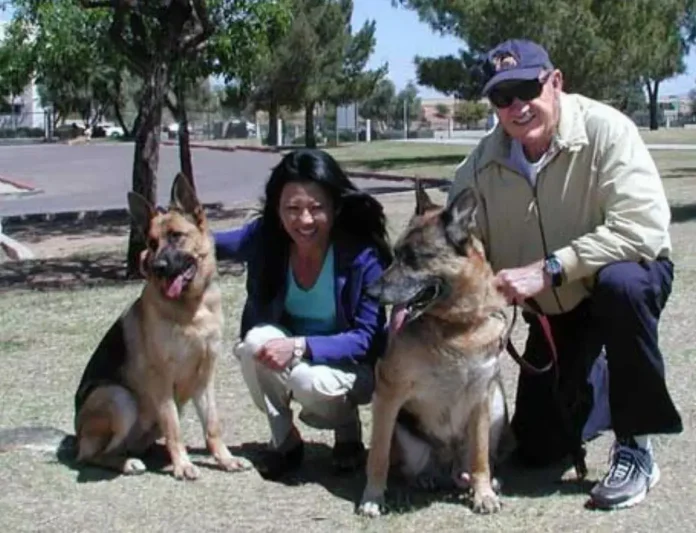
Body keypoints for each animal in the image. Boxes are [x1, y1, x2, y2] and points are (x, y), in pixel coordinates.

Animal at [70, 174, 245, 478]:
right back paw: (127, 463)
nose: (158, 267)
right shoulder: (162, 378)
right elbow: (173, 426)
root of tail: (77, 437)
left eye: (176, 236)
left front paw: (224, 459)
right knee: (95, 455)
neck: (191, 309)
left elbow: (212, 425)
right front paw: (183, 465)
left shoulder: (205, 376)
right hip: (119, 397)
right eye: (152, 243)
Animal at [358, 182, 512, 516]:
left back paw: (477, 481)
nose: (370, 292)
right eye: (395, 254)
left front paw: (483, 494)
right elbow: (377, 456)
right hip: (406, 434)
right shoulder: (388, 394)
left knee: (473, 462)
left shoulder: (481, 396)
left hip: (496, 406)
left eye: (414, 258)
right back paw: (426, 477)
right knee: (407, 466)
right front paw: (372, 497)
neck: (455, 326)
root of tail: (447, 464)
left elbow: (480, 457)